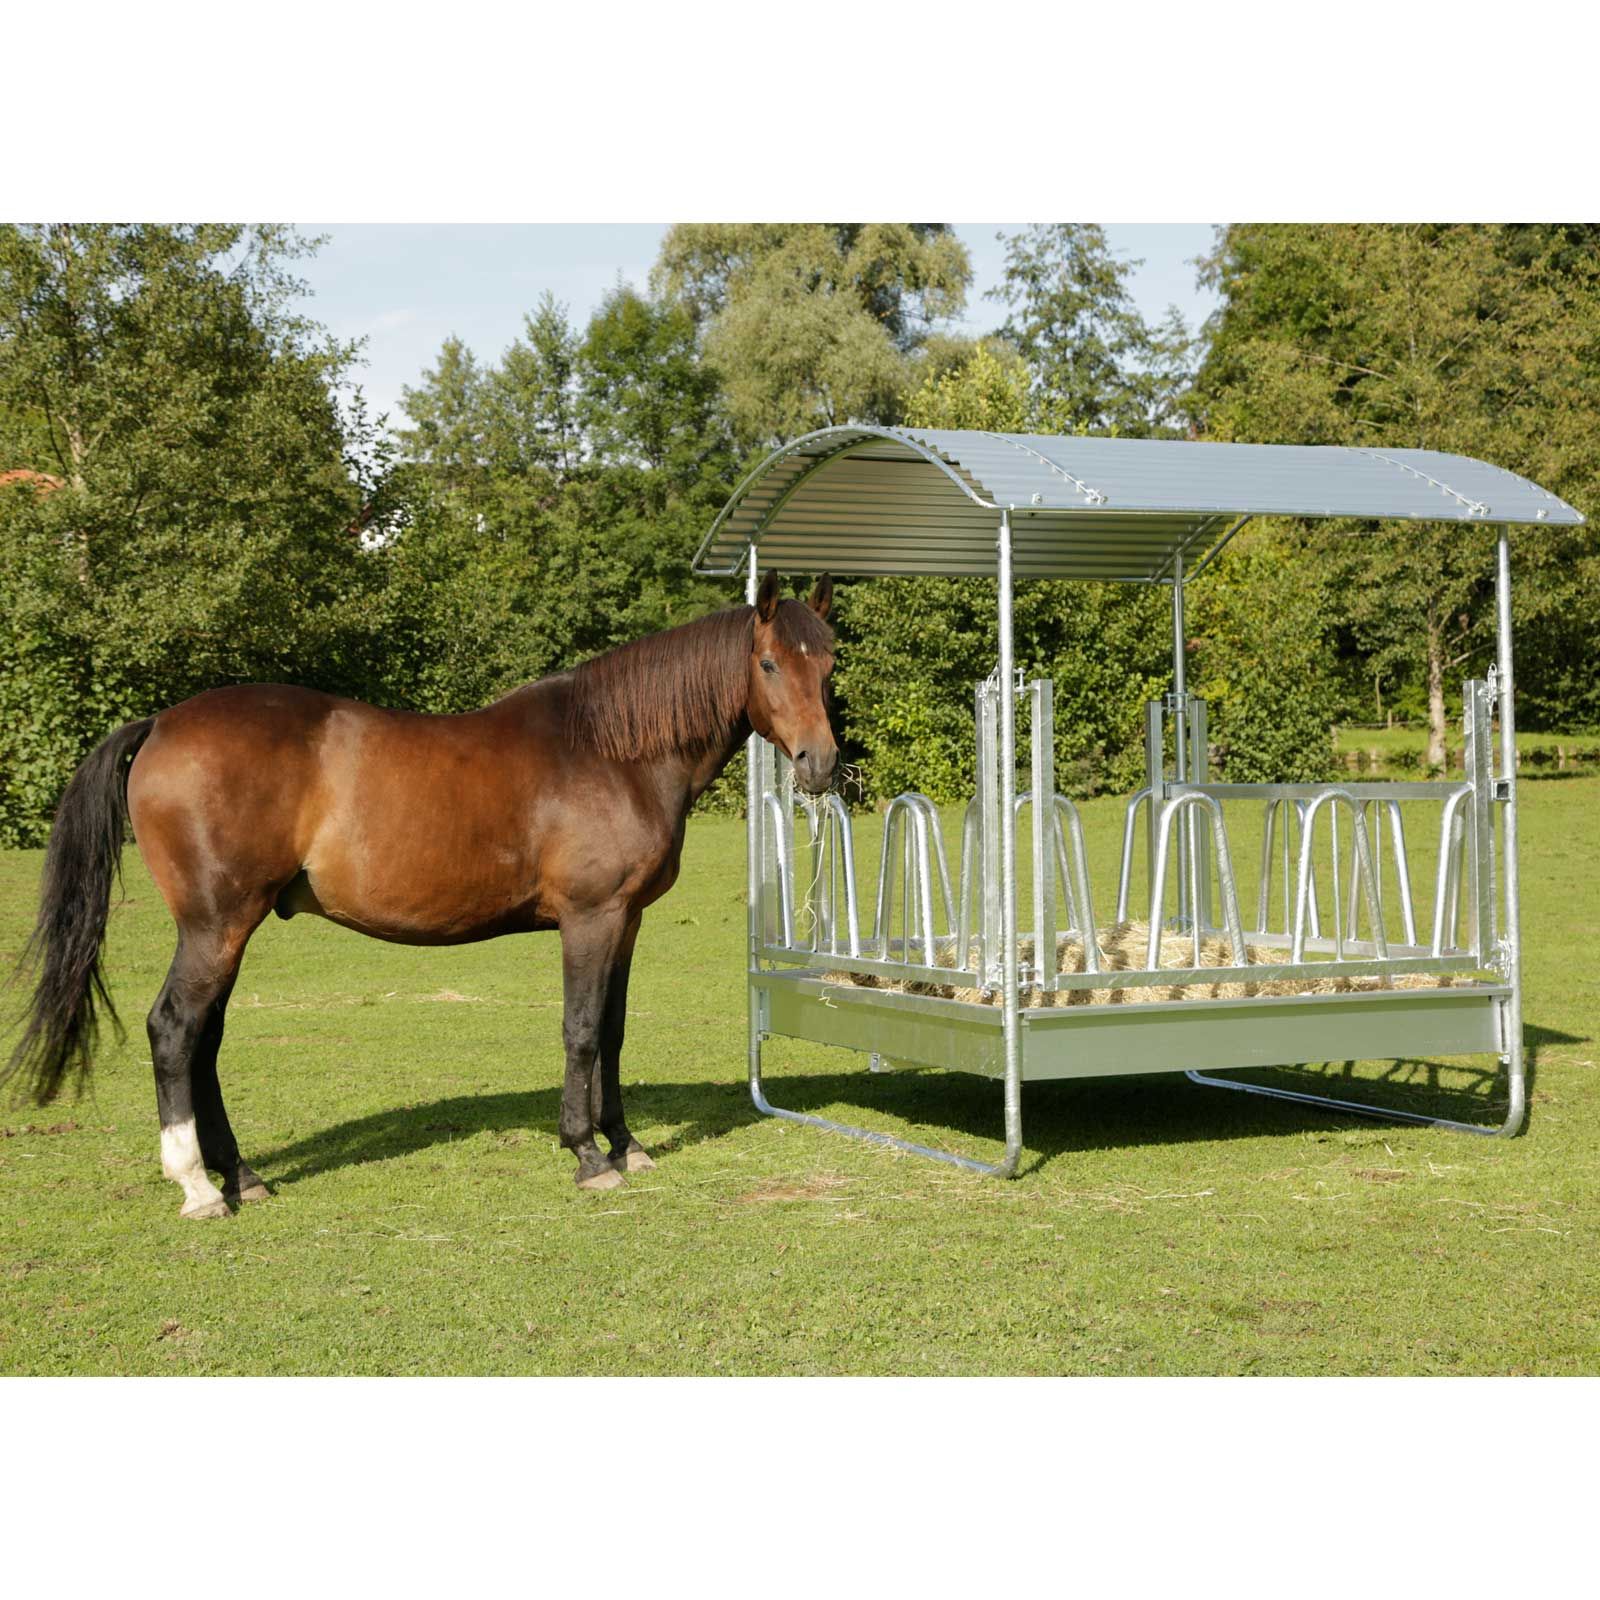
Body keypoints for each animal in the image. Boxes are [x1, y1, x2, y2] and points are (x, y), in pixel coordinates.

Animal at [4, 571, 837, 1212]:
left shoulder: (625, 922)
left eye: (828, 664)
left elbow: (615, 1032)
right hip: (216, 925)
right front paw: (586, 1155)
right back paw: (199, 1189)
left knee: (204, 1040)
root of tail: (161, 724)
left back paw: (243, 1176)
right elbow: (581, 1031)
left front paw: (626, 1144)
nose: (819, 763)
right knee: (175, 1029)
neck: (611, 752)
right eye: (768, 663)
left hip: (229, 929)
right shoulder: (590, 919)